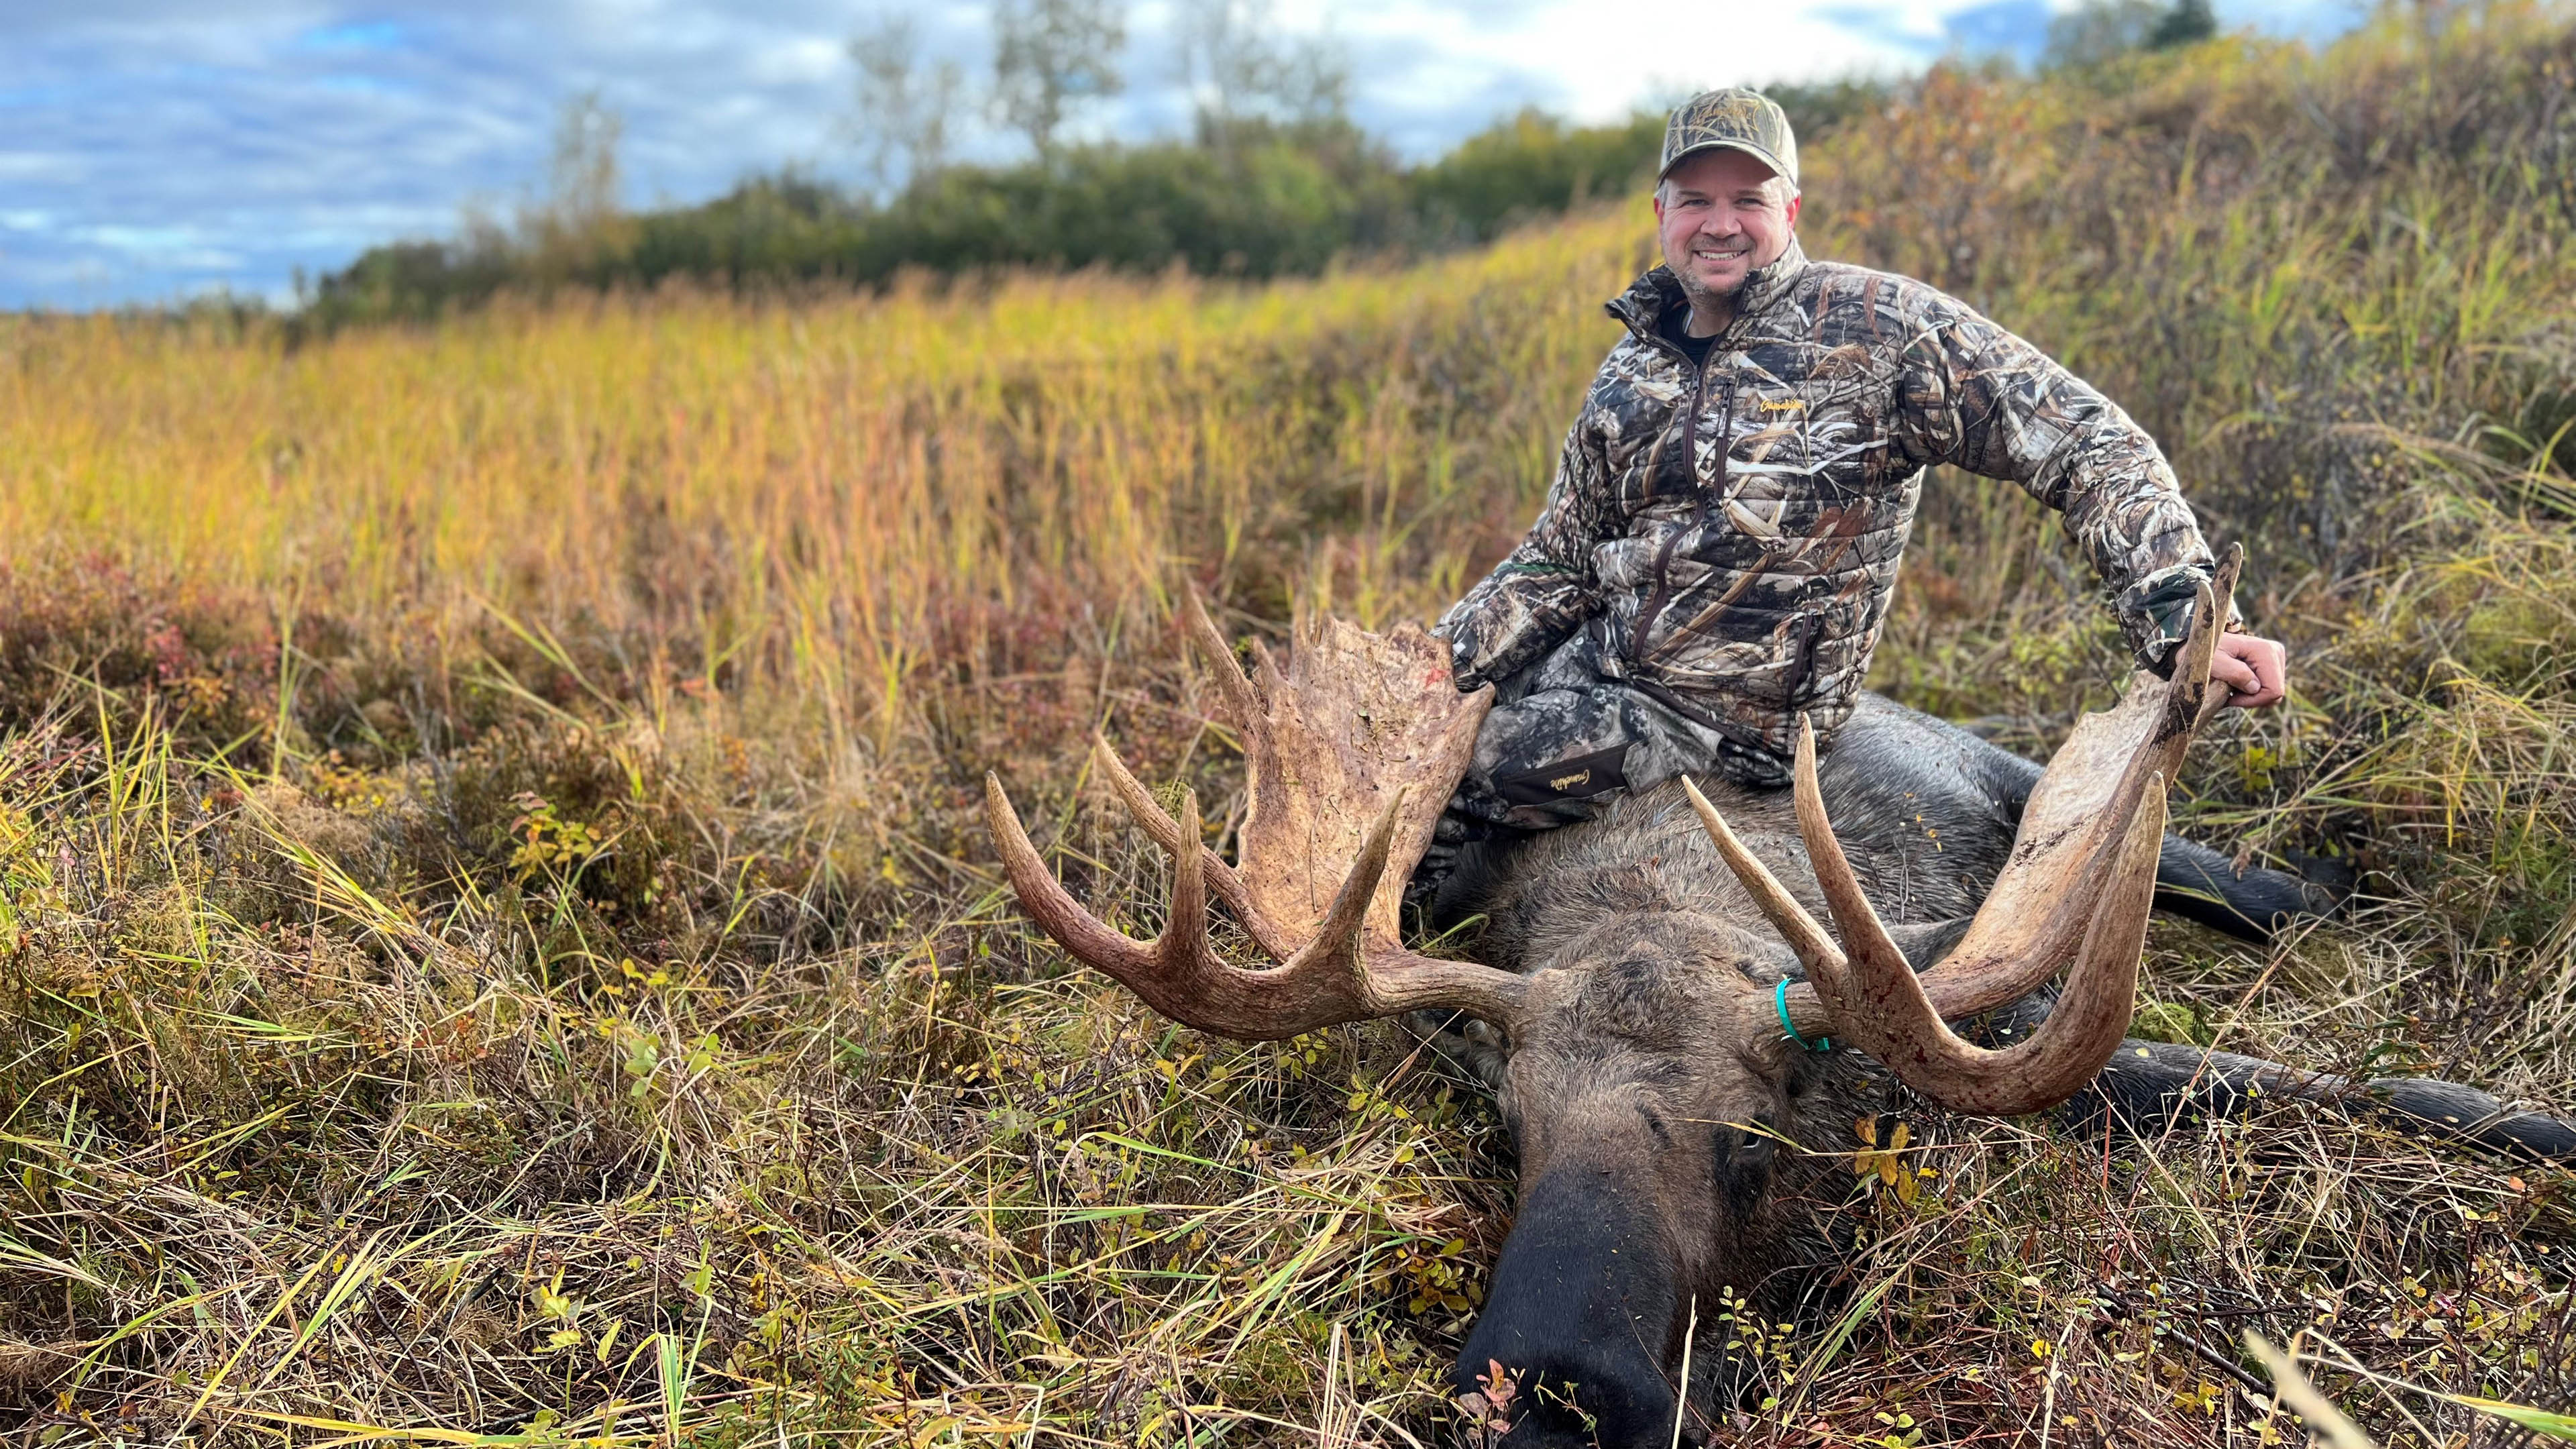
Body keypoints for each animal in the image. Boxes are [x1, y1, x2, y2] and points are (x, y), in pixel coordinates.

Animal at [982, 566, 2574, 1447]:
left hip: (2047, 791)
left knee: (2257, 888)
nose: (1546, 1395)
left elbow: (2375, 1088)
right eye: (1505, 1134)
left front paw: (2532, 1128)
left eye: (1755, 1146)